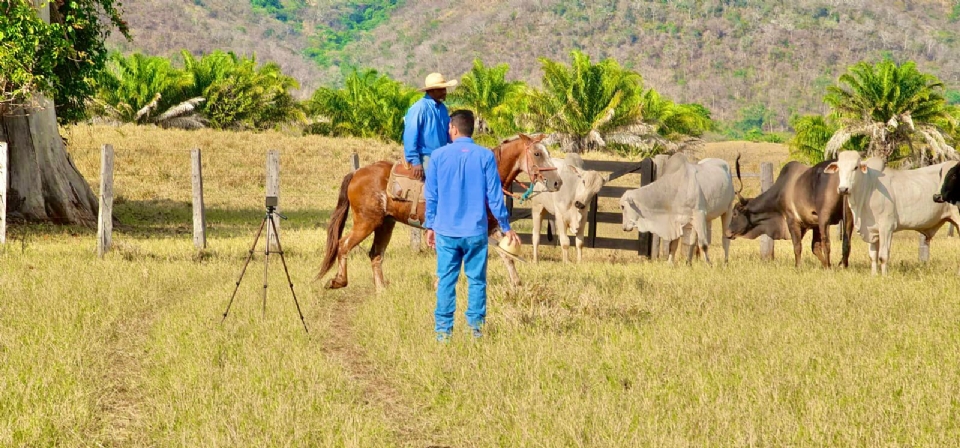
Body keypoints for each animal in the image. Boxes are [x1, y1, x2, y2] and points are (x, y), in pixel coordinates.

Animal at [316, 134, 564, 290]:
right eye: (537, 154)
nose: (557, 182)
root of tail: (357, 173)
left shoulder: (490, 227)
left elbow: (507, 256)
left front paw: (517, 285)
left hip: (386, 223)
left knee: (375, 255)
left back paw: (381, 290)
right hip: (366, 222)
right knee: (343, 245)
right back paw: (338, 281)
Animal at [724, 159, 852, 268]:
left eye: (734, 213)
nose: (727, 232)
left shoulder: (792, 221)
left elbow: (797, 246)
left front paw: (798, 267)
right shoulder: (814, 224)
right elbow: (814, 247)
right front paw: (826, 266)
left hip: (824, 218)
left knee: (827, 243)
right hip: (849, 216)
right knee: (846, 242)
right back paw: (843, 266)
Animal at [824, 151, 960, 276]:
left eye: (855, 167)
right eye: (839, 168)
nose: (843, 189)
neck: (868, 187)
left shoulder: (886, 227)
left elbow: (883, 256)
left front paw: (884, 276)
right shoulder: (872, 230)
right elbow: (873, 256)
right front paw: (874, 275)